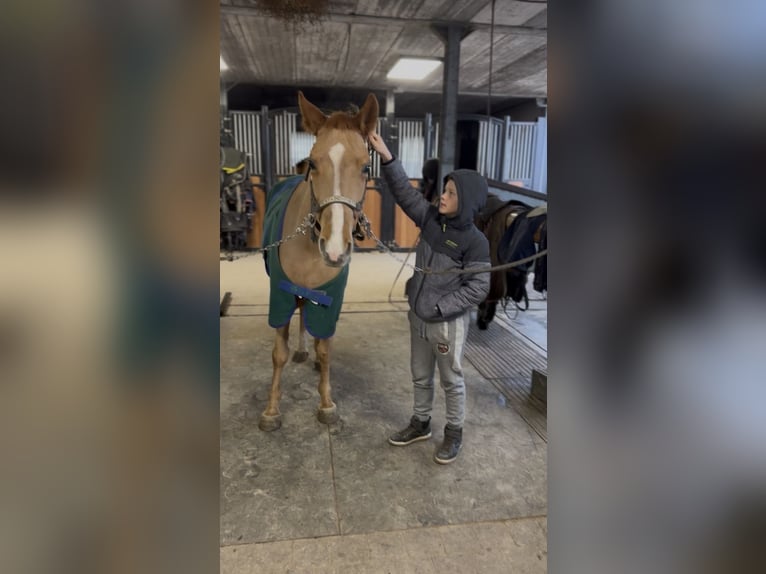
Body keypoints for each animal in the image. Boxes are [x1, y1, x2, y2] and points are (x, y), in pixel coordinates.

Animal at [259, 91, 379, 432]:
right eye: (313, 163)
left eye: (366, 168)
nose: (335, 248)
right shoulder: (281, 293)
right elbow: (278, 353)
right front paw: (271, 410)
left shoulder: (330, 299)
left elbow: (325, 350)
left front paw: (326, 404)